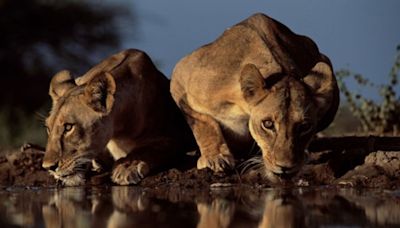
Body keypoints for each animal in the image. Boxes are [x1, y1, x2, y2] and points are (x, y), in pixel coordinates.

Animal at [42, 48, 195, 185]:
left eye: (68, 127)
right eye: (48, 128)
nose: (49, 167)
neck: (117, 132)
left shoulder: (175, 137)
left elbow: (149, 149)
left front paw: (127, 166)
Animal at [170, 12, 340, 183]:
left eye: (305, 126)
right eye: (268, 124)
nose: (286, 167)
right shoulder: (180, 74)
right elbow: (203, 121)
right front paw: (216, 158)